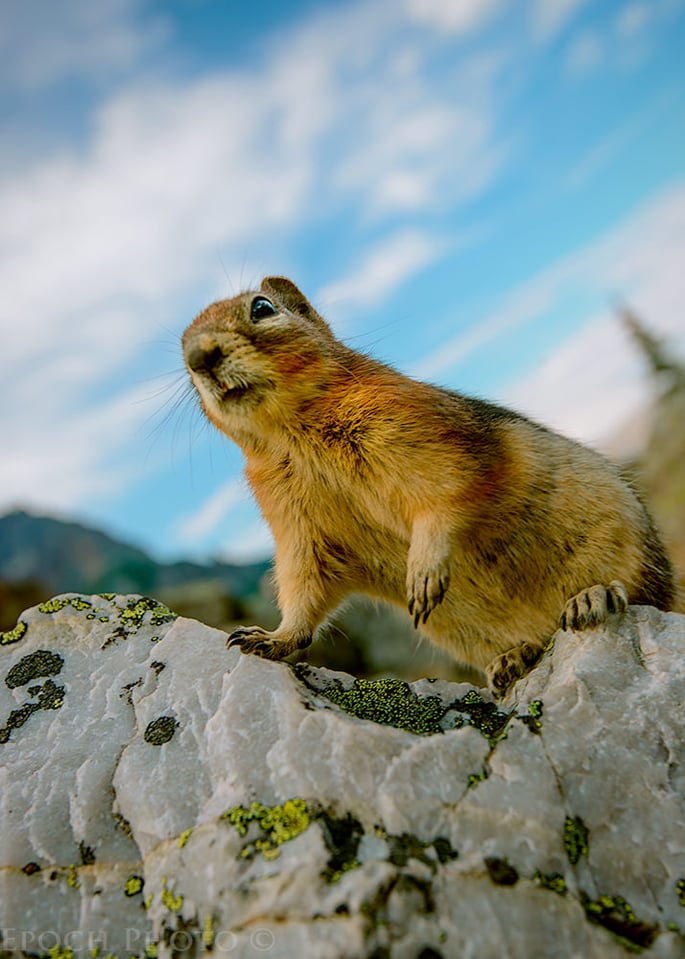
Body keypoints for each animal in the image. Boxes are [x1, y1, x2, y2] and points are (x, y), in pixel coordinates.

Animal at [180, 274, 672, 692]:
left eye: (261, 307)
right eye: (180, 349)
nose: (198, 358)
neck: (292, 434)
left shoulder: (421, 432)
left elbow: (446, 494)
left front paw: (422, 574)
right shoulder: (295, 522)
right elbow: (304, 581)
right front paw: (262, 638)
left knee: (640, 598)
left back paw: (592, 599)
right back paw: (513, 659)